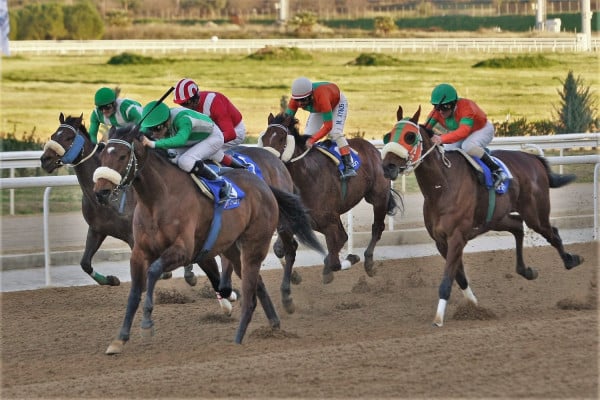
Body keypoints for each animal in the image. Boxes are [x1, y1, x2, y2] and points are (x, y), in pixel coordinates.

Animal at [39, 114, 237, 310]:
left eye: (68, 137)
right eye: (54, 135)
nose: (45, 159)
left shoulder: (133, 236)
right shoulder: (97, 229)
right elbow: (85, 263)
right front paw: (112, 280)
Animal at [92, 125, 324, 354]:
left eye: (122, 156)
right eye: (102, 155)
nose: (101, 192)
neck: (158, 200)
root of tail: (264, 185)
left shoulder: (183, 250)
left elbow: (154, 271)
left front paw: (147, 324)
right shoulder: (140, 252)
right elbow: (133, 295)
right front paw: (120, 339)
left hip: (257, 242)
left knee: (273, 265)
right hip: (232, 247)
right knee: (255, 282)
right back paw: (273, 324)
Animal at [260, 112, 400, 284]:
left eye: (281, 138)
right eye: (264, 137)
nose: (266, 161)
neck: (306, 178)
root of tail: (372, 148)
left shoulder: (328, 221)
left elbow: (335, 256)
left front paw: (343, 262)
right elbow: (279, 249)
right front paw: (294, 276)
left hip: (378, 197)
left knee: (377, 228)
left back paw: (369, 263)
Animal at [382, 104, 584, 326]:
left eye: (409, 136)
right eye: (388, 135)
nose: (387, 166)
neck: (442, 186)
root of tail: (534, 159)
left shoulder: (457, 237)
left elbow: (447, 279)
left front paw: (438, 318)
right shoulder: (441, 241)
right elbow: (459, 276)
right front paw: (474, 307)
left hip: (535, 214)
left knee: (552, 233)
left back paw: (571, 260)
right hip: (496, 218)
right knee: (517, 225)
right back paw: (526, 270)